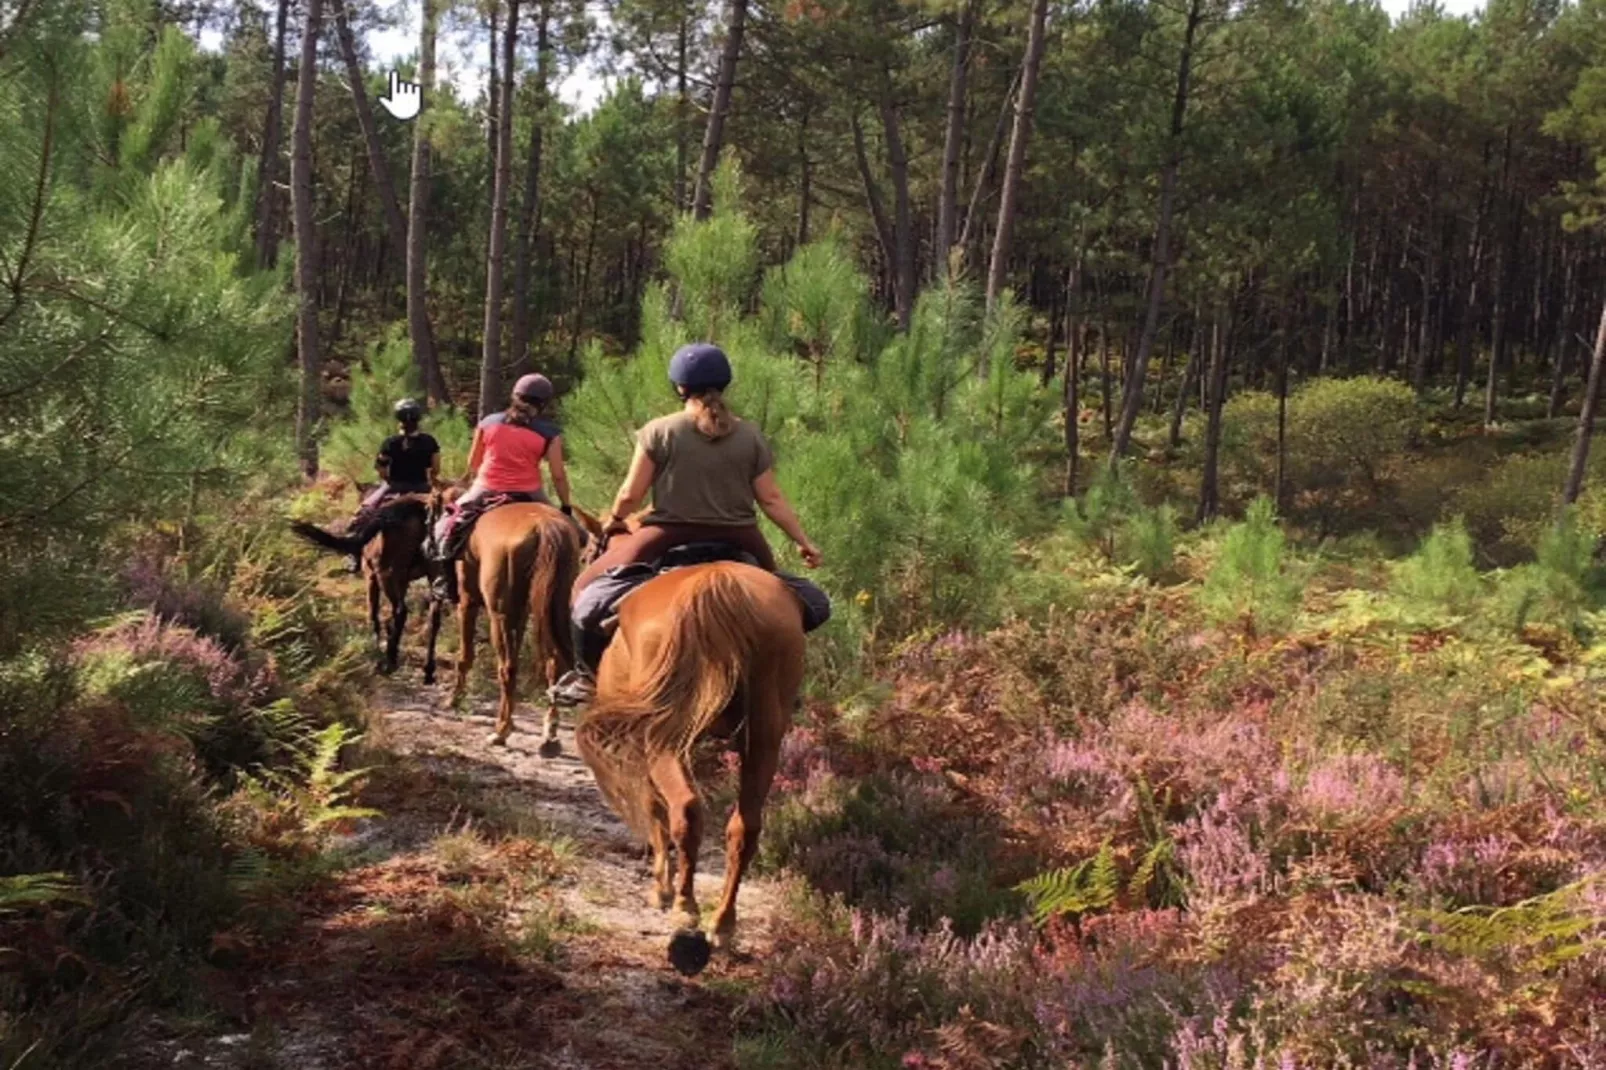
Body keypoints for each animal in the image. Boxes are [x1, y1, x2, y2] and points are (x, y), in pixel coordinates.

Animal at [292, 488, 443, 677]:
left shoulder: (370, 577)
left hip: (387, 574)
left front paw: (376, 648)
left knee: (401, 611)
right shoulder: (402, 581)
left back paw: (389, 661)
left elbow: (373, 614)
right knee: (434, 619)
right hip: (432, 576)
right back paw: (428, 669)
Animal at [574, 559, 803, 963]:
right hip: (764, 737)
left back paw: (685, 909)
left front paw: (660, 888)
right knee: (745, 827)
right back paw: (722, 925)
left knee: (685, 810)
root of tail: (717, 583)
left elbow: (654, 809)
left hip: (663, 740)